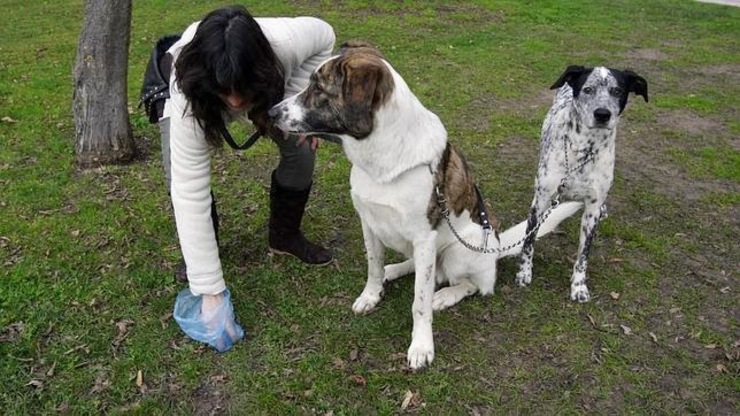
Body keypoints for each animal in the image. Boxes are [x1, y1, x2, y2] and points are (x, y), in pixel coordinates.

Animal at [268, 41, 584, 368]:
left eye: (318, 88)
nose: (271, 112)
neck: (382, 156)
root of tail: (495, 248)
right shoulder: (369, 223)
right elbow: (373, 266)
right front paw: (372, 294)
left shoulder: (424, 237)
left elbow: (420, 302)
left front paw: (421, 345)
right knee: (423, 269)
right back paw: (394, 270)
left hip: (460, 249)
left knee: (475, 285)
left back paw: (446, 295)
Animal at [516, 66, 648, 304]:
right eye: (588, 89)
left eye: (617, 90)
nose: (602, 114)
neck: (585, 149)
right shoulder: (540, 202)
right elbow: (529, 241)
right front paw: (524, 272)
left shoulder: (591, 211)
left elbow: (583, 255)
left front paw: (578, 287)